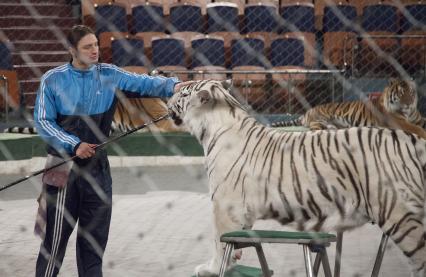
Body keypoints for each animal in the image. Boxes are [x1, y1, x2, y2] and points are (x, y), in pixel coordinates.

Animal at [167, 78, 426, 274]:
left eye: (185, 92)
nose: (172, 92)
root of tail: (414, 142)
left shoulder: (224, 205)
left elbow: (219, 242)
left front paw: (211, 268)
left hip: (402, 217)